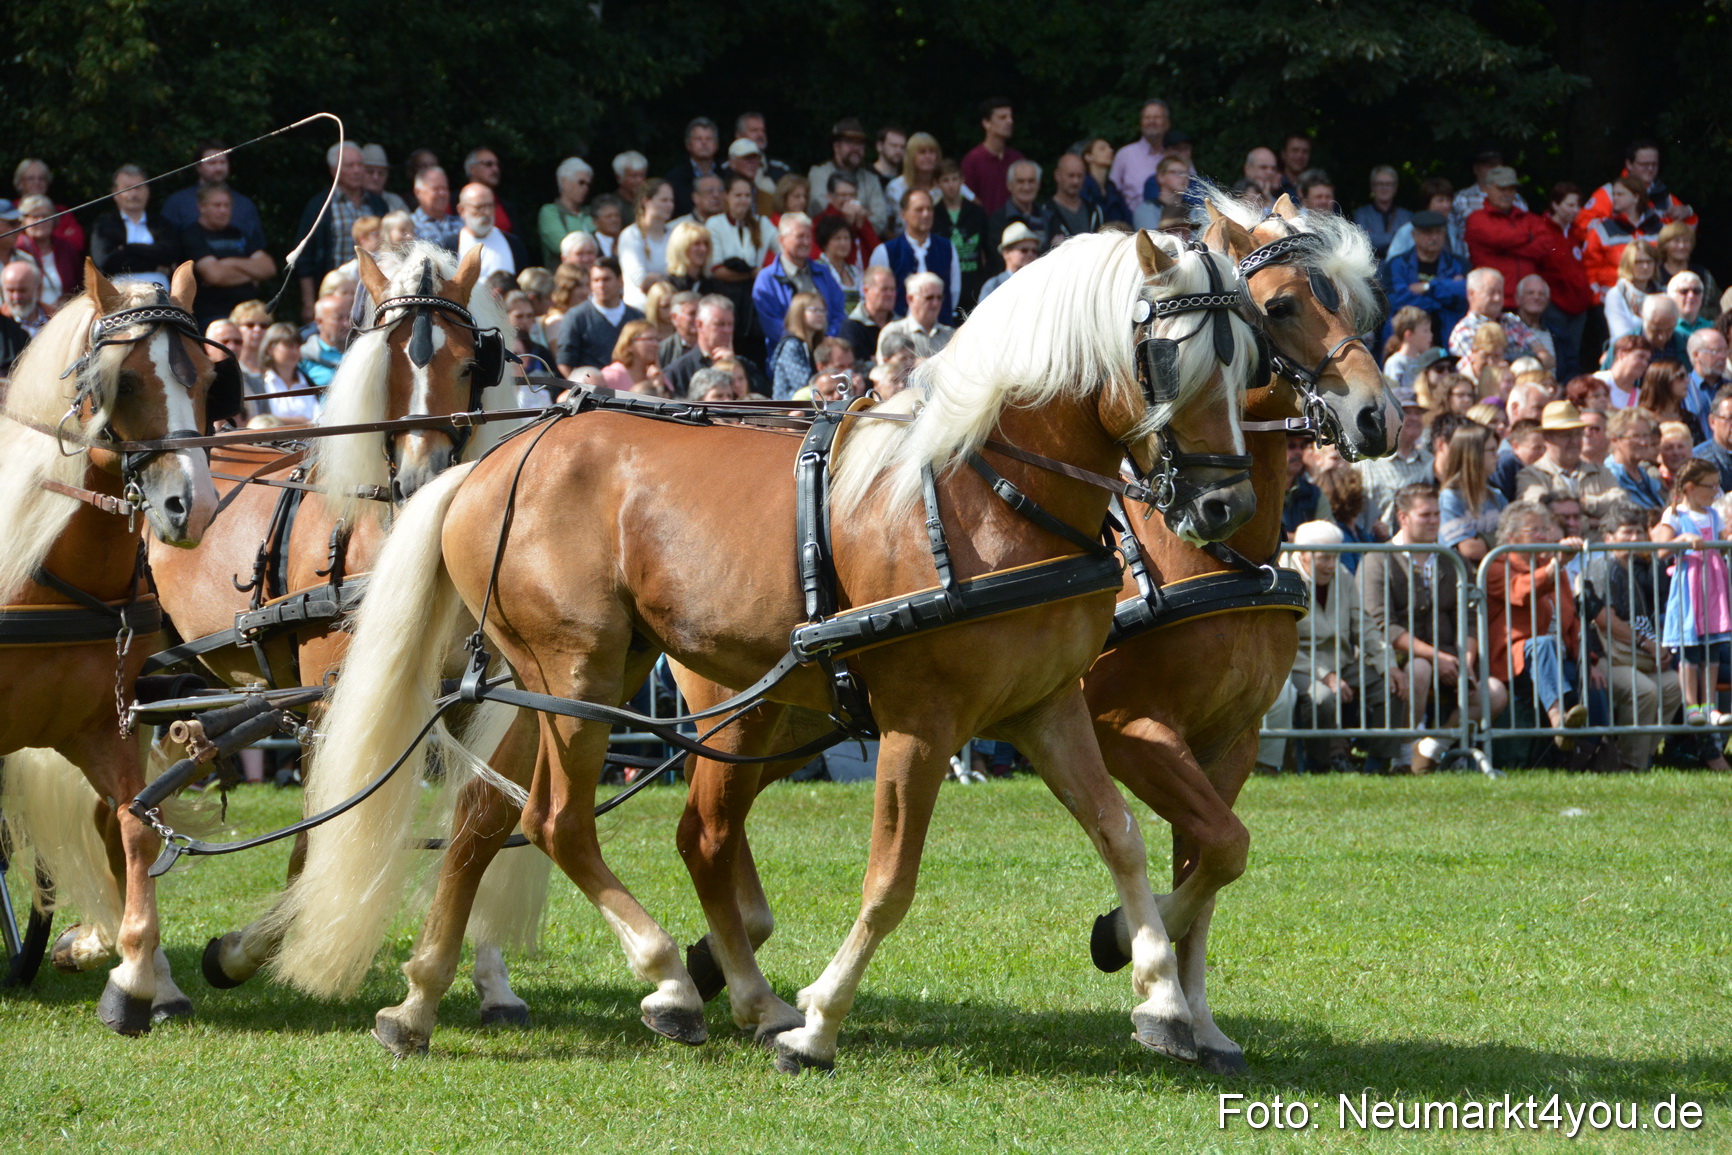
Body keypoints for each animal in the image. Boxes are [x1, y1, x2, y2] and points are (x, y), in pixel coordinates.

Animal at [0, 261, 224, 1034]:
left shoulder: (105, 724)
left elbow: (133, 828)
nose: (193, 506)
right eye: (122, 381)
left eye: (207, 378)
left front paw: (136, 974)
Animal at [252, 230, 1265, 1068]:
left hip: (579, 680)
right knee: (560, 821)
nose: (1223, 506)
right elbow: (891, 880)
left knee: (486, 819)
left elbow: (1122, 834)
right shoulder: (921, 724)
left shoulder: (1046, 707)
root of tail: (485, 466)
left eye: (1248, 358)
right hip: (578, 674)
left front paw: (1160, 992)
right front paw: (821, 1022)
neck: (983, 490)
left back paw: (423, 1001)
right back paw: (669, 977)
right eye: (1168, 355)